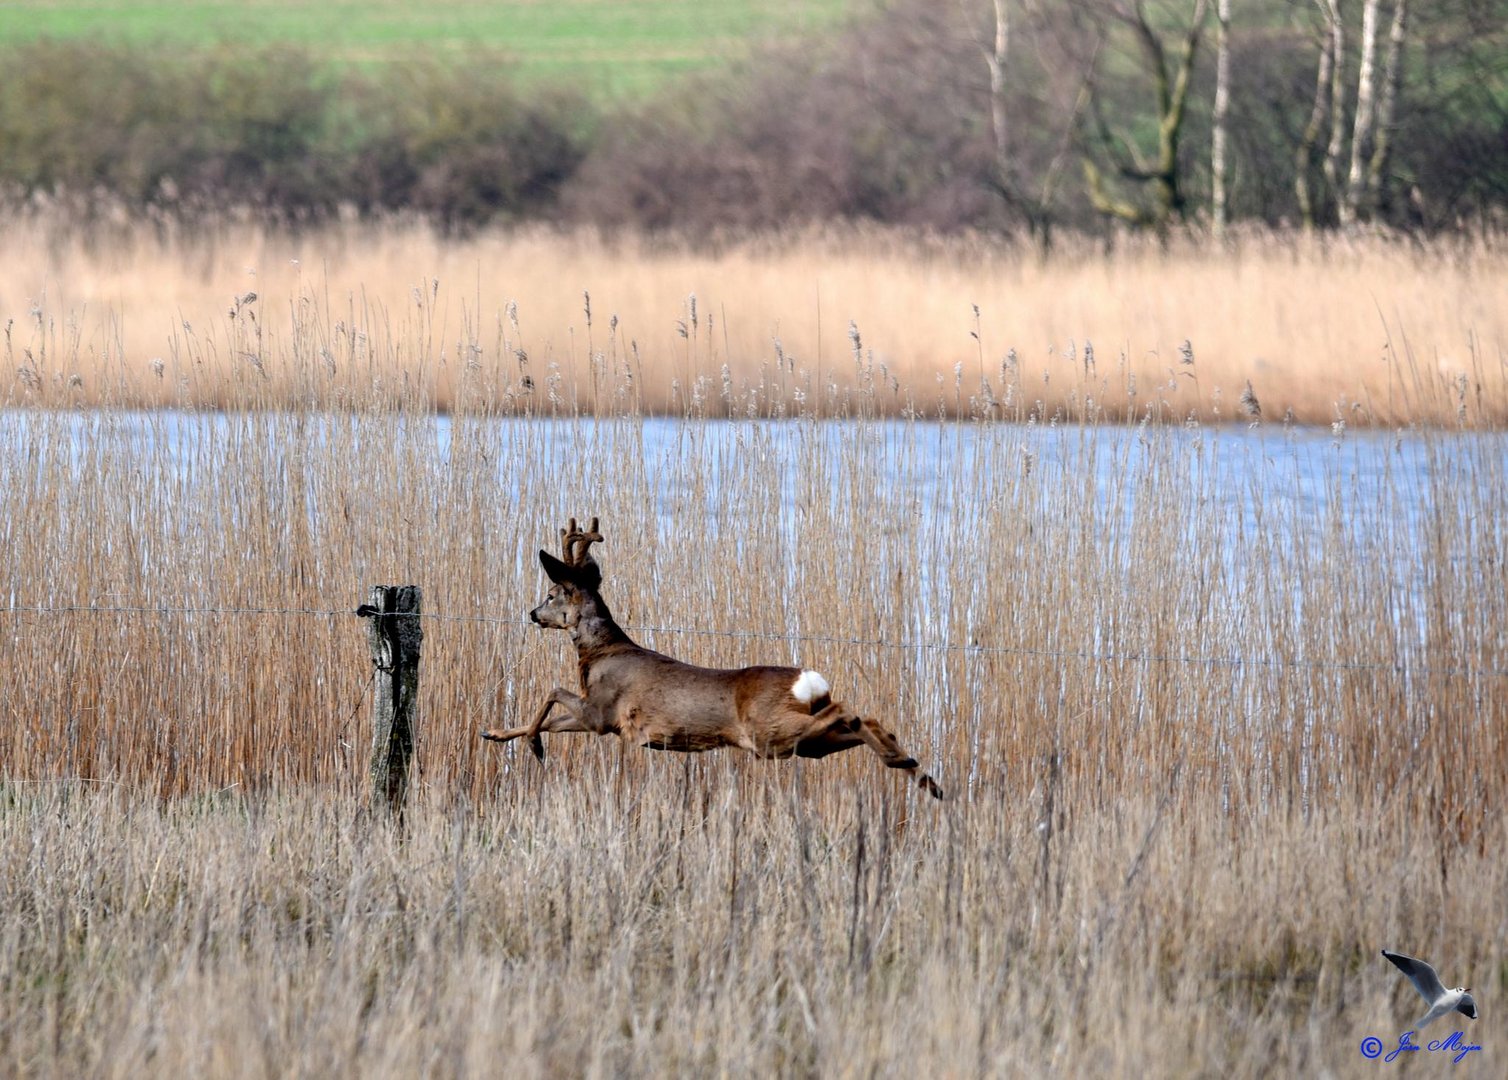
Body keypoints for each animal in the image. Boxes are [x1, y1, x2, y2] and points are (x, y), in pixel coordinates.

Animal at [485, 518, 940, 796]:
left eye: (551, 594)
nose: (532, 614)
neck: (601, 652)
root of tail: (808, 681)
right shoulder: (603, 721)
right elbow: (551, 719)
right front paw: (496, 733)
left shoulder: (603, 712)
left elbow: (552, 693)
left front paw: (533, 746)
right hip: (803, 745)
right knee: (862, 723)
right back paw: (915, 770)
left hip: (768, 732)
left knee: (851, 712)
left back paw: (906, 762)